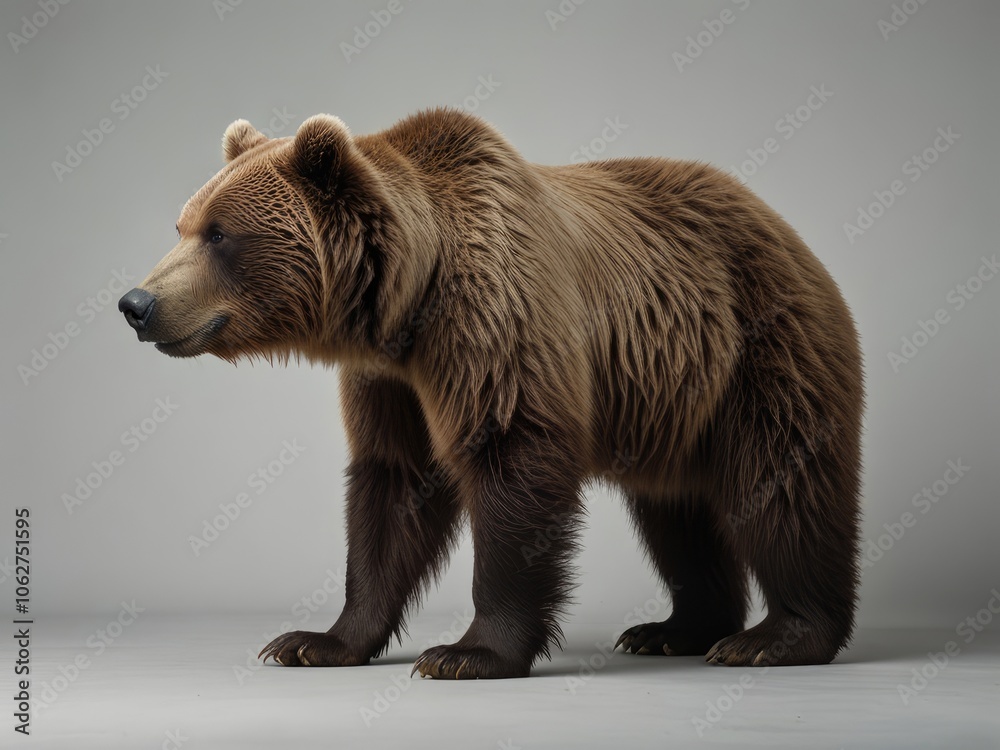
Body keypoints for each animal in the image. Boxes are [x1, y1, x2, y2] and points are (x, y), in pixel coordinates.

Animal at [119, 108, 863, 679]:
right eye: (183, 225)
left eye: (219, 233)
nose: (136, 303)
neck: (409, 302)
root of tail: (781, 226)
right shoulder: (391, 381)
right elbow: (391, 487)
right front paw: (314, 641)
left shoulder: (495, 322)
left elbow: (512, 459)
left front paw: (466, 653)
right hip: (676, 397)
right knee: (676, 509)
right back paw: (674, 629)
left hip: (763, 346)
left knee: (782, 482)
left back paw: (775, 636)